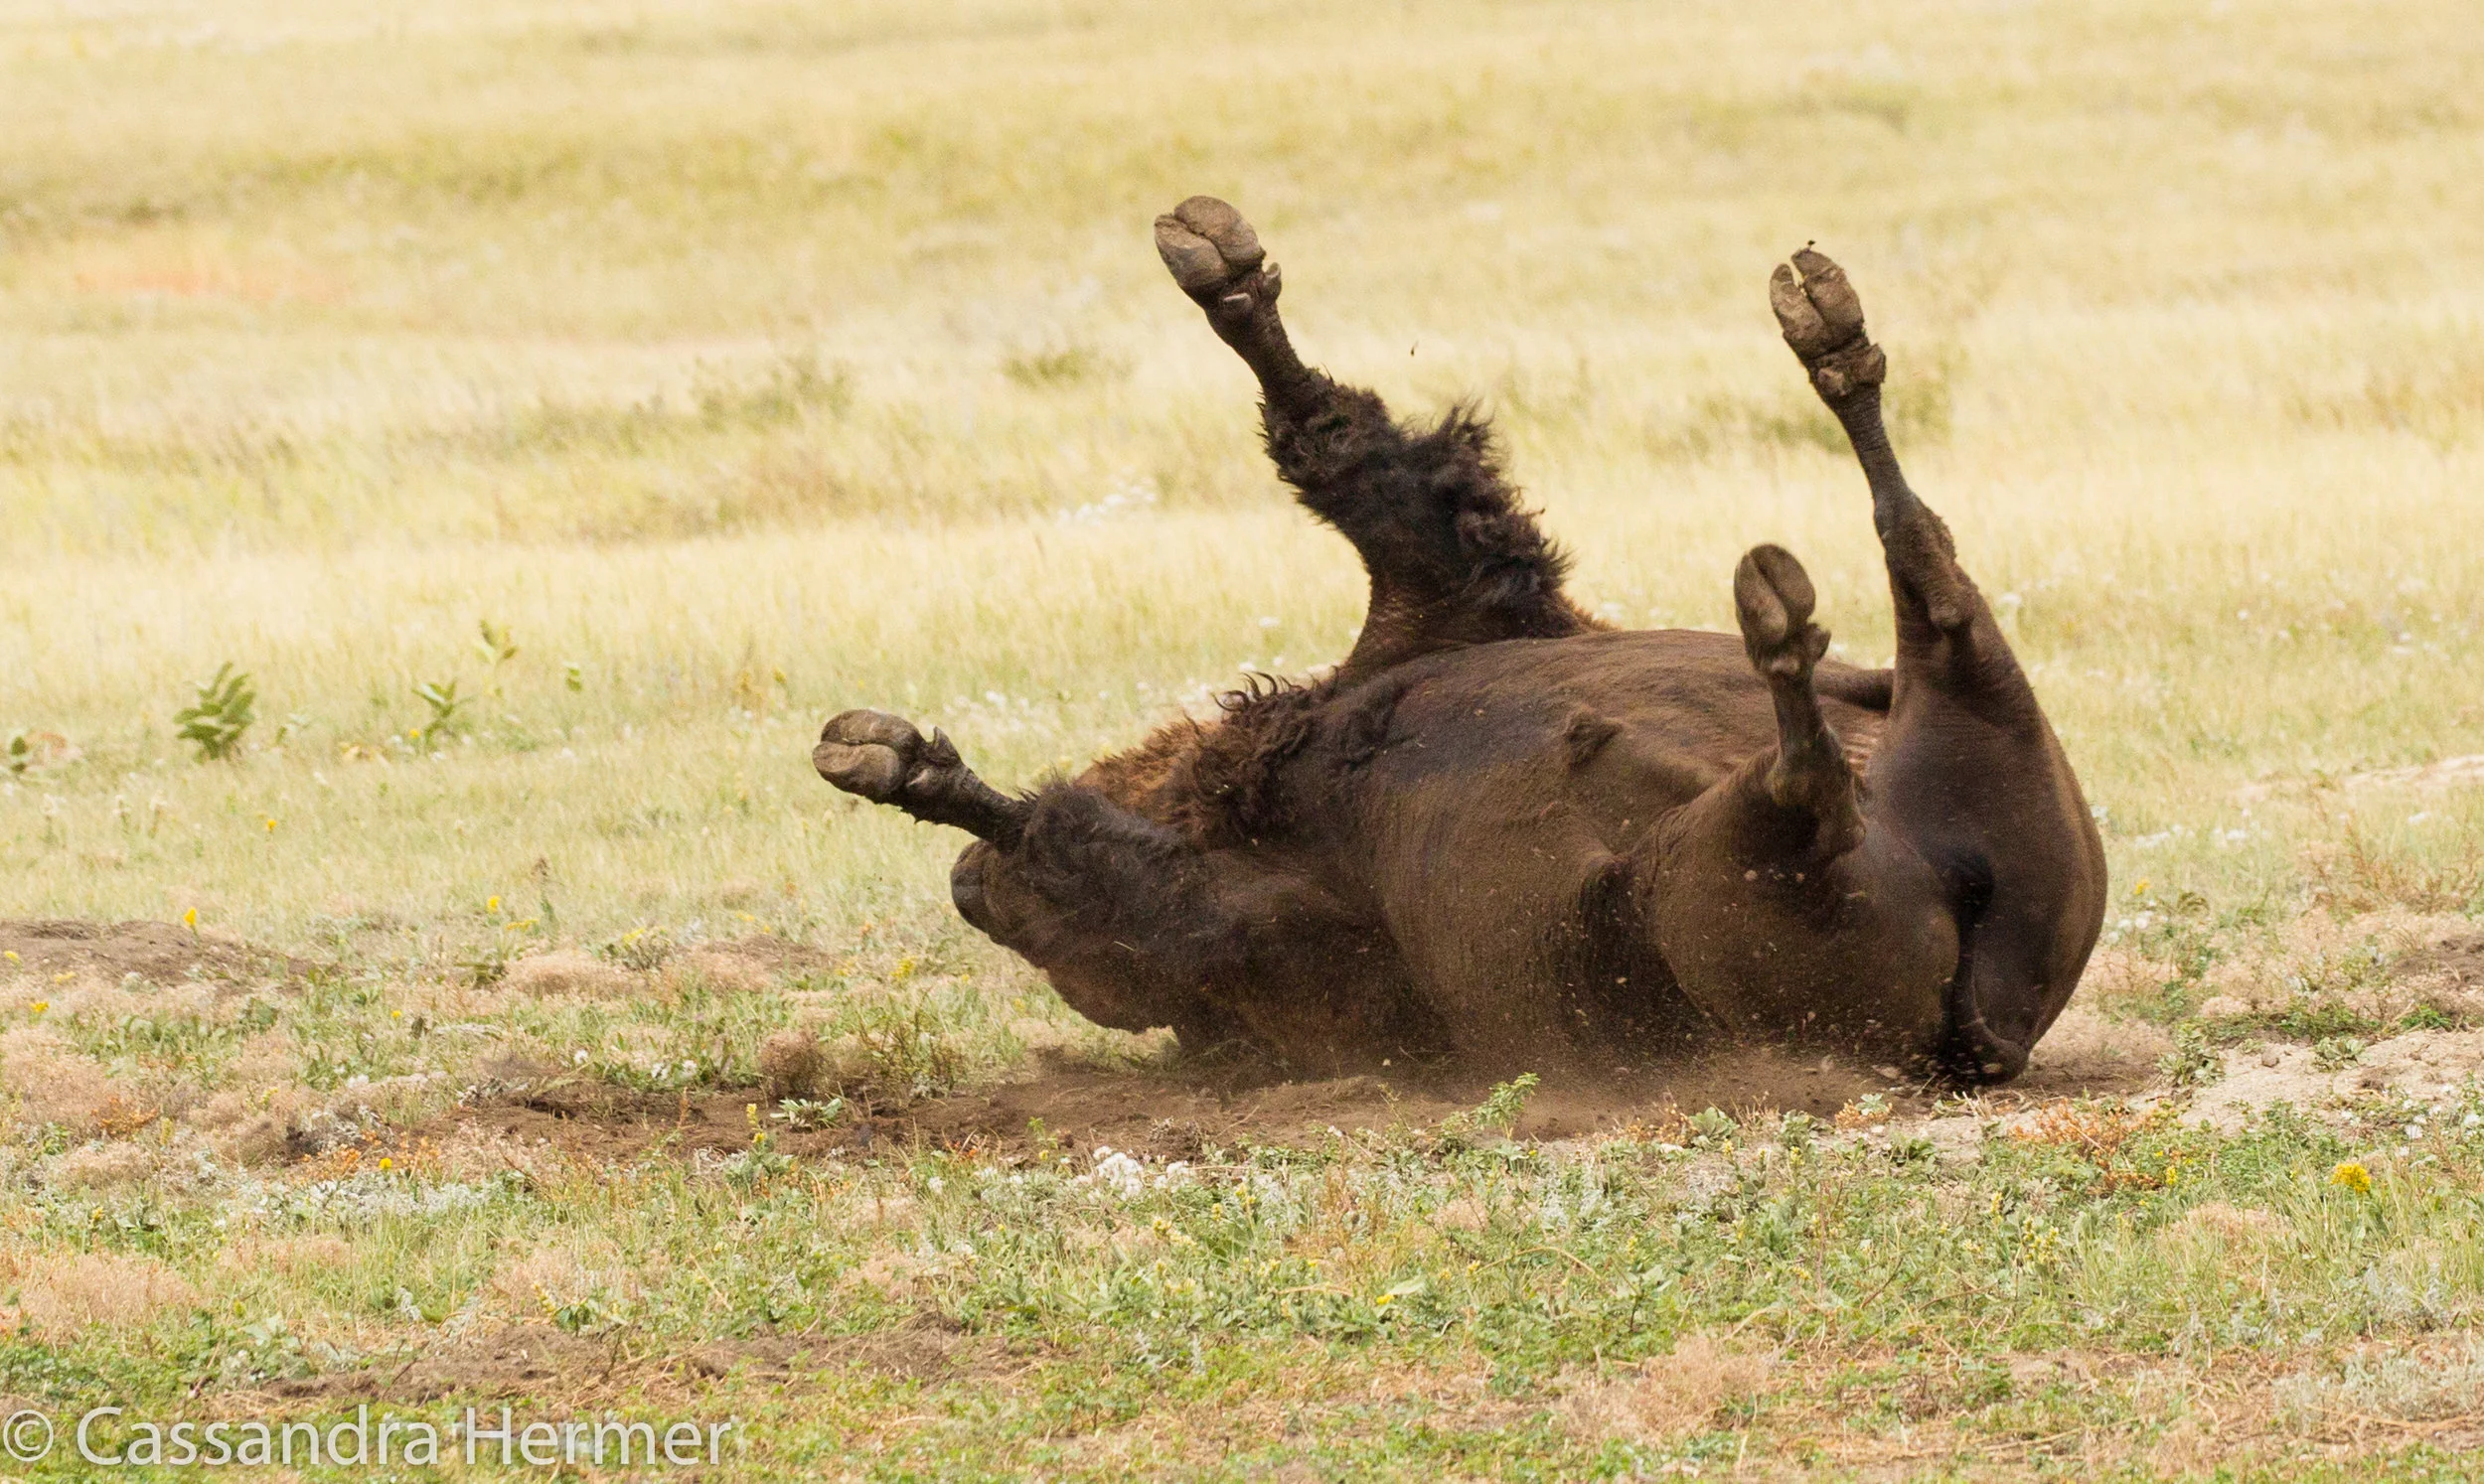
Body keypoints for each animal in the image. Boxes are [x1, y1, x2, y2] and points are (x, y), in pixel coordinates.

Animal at [816, 197, 2106, 1083]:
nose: (973, 895)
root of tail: (1985, 1032)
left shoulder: (1455, 603)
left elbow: (1352, 457)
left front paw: (1222, 270)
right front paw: (897, 762)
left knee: (1903, 598)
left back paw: (1823, 346)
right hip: (1701, 884)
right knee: (1847, 718)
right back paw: (1784, 596)